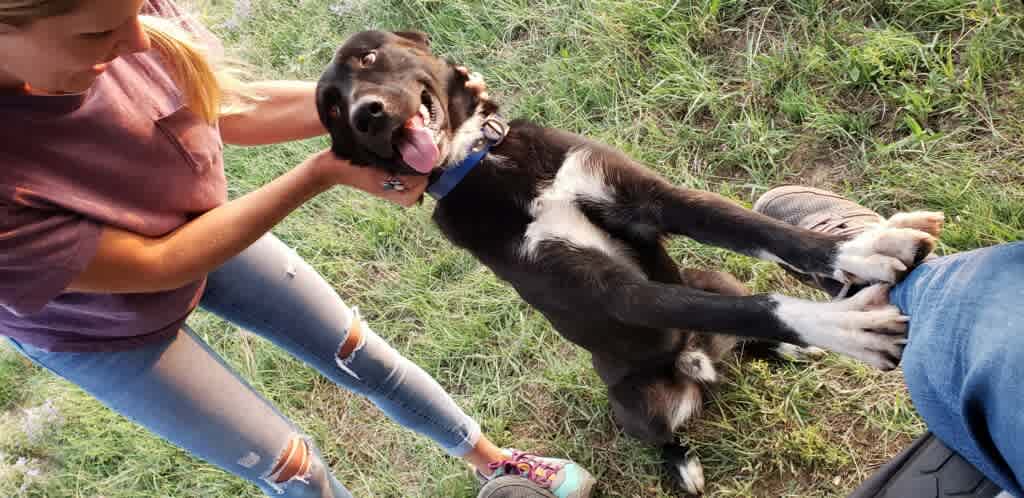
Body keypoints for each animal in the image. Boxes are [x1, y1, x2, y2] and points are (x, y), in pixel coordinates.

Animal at [315, 31, 937, 493]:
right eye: (331, 108)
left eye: (367, 58)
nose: (367, 114)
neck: (485, 162)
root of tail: (696, 363)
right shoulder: (615, 294)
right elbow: (763, 305)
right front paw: (850, 327)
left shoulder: (652, 200)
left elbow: (762, 234)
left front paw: (864, 249)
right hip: (639, 405)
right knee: (673, 416)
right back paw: (682, 463)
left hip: (718, 278)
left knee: (732, 320)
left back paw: (785, 350)